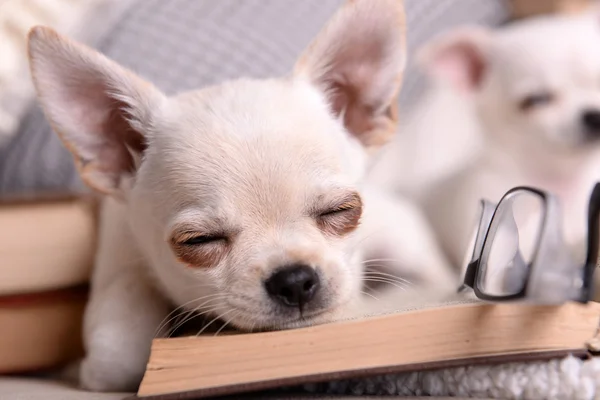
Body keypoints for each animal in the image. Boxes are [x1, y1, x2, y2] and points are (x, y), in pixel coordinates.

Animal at [25, 0, 452, 392]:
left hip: (401, 237)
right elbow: (116, 355)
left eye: (342, 210)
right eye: (198, 241)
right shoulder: (120, 259)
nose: (294, 279)